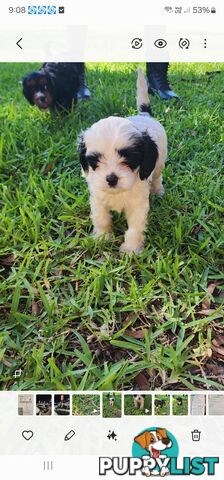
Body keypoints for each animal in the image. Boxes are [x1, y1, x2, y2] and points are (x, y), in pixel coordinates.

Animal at [78, 69, 167, 255]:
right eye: (95, 160)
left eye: (129, 159)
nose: (111, 178)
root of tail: (144, 114)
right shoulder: (98, 199)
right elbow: (101, 218)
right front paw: (102, 237)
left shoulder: (138, 205)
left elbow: (134, 228)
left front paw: (131, 249)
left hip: (160, 161)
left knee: (157, 176)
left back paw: (157, 190)